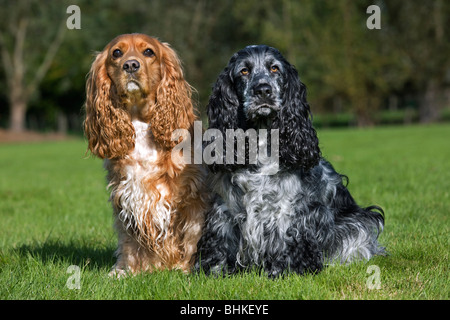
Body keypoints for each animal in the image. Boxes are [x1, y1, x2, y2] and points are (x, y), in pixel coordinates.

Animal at [195, 45, 384, 278]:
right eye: (244, 71)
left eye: (274, 68)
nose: (263, 90)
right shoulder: (224, 206)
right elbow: (221, 239)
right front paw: (214, 269)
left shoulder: (291, 210)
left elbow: (286, 238)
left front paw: (285, 270)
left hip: (359, 222)